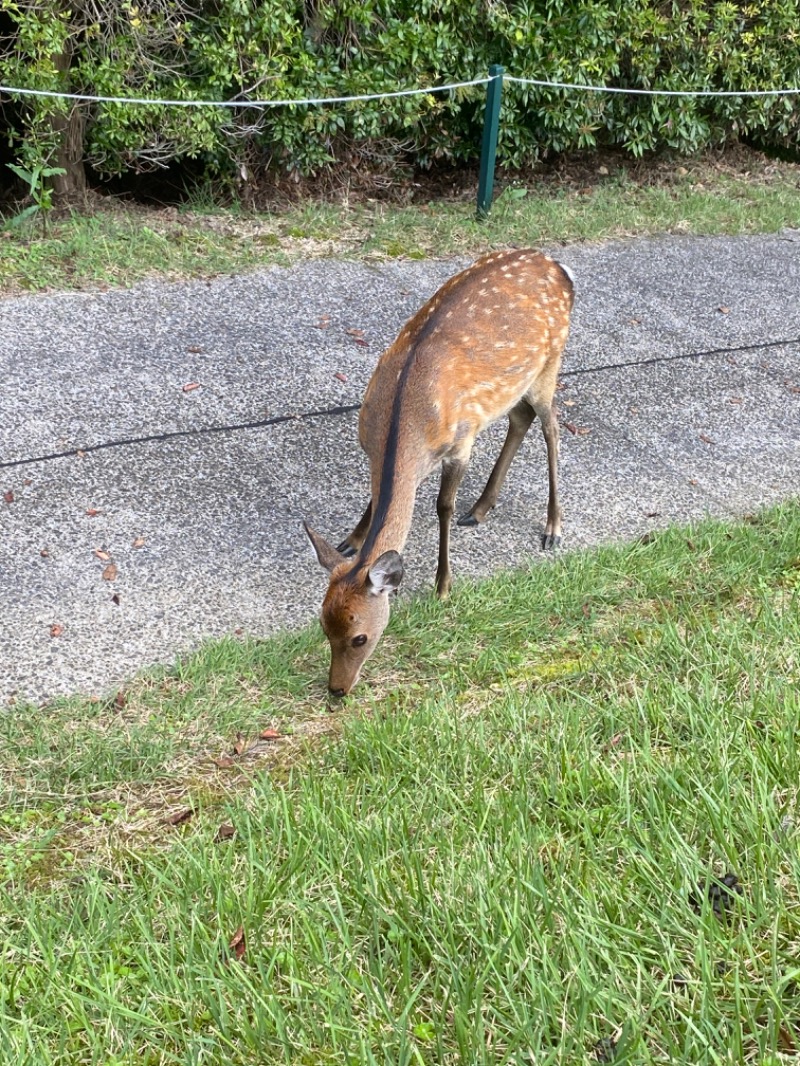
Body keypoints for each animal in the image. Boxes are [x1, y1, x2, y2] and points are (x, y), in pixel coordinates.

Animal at [305, 250, 576, 699]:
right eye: (324, 628)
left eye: (360, 637)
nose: (337, 689)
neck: (404, 425)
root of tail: (558, 265)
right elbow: (377, 499)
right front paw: (352, 539)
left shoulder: (461, 443)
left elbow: (442, 507)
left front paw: (443, 585)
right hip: (517, 384)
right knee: (521, 417)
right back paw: (481, 508)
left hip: (549, 363)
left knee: (552, 426)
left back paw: (553, 527)